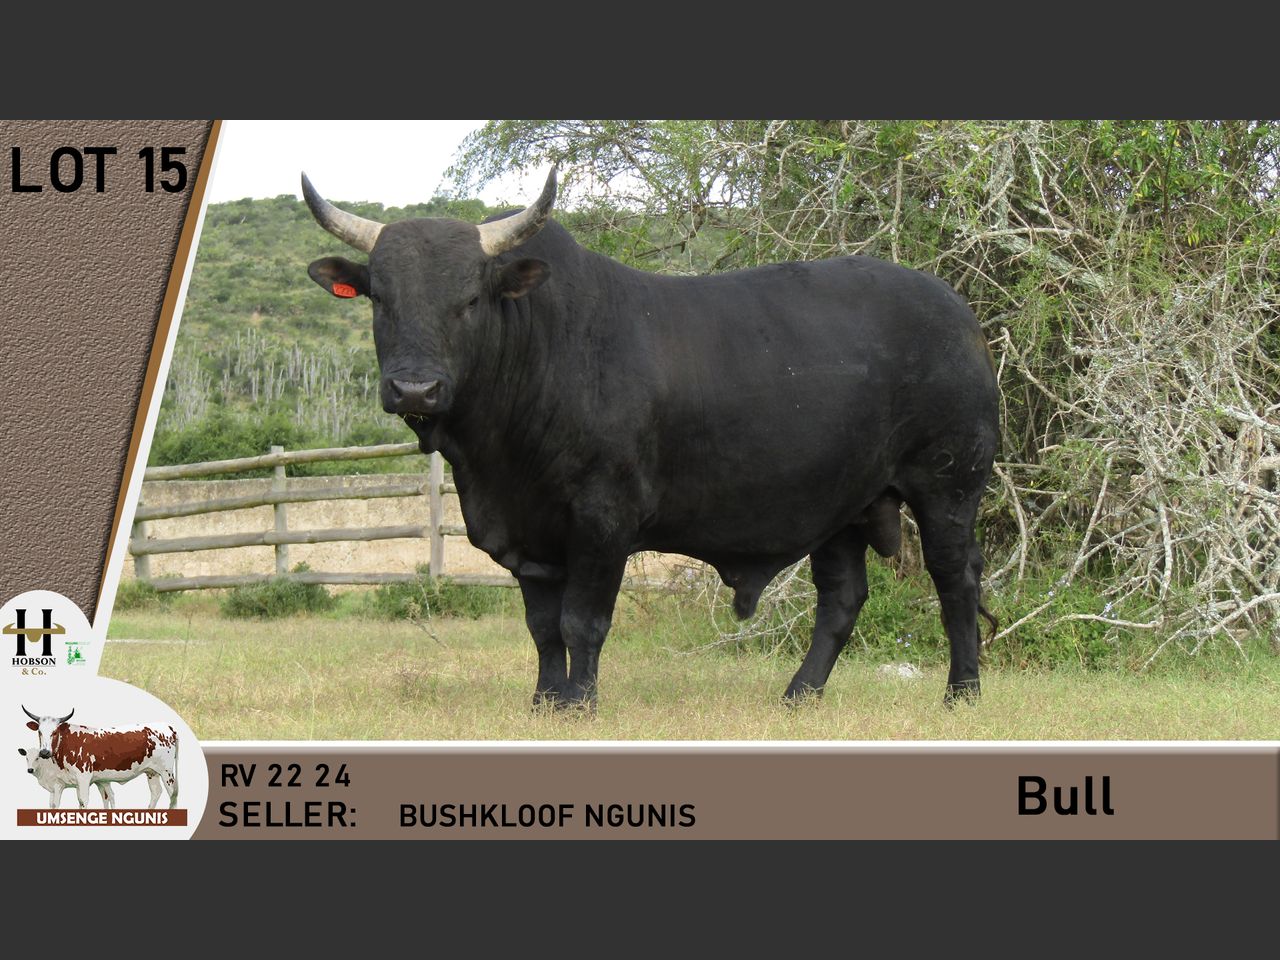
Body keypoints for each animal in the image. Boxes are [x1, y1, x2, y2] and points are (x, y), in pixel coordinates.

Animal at [22, 706, 179, 808]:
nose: (44, 752)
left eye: (54, 732)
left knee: (173, 794)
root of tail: (167, 726)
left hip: (167, 772)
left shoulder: (83, 777)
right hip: (151, 772)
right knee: (156, 792)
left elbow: (83, 801)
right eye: (39, 732)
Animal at [303, 167, 999, 711]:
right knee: (842, 598)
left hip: (949, 485)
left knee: (955, 579)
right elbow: (541, 626)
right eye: (378, 298)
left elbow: (581, 622)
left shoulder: (603, 519)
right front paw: (545, 702)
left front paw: (580, 704)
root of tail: (956, 310)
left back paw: (961, 693)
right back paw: (800, 696)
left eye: (471, 298)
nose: (415, 389)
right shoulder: (526, 532)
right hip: (842, 505)